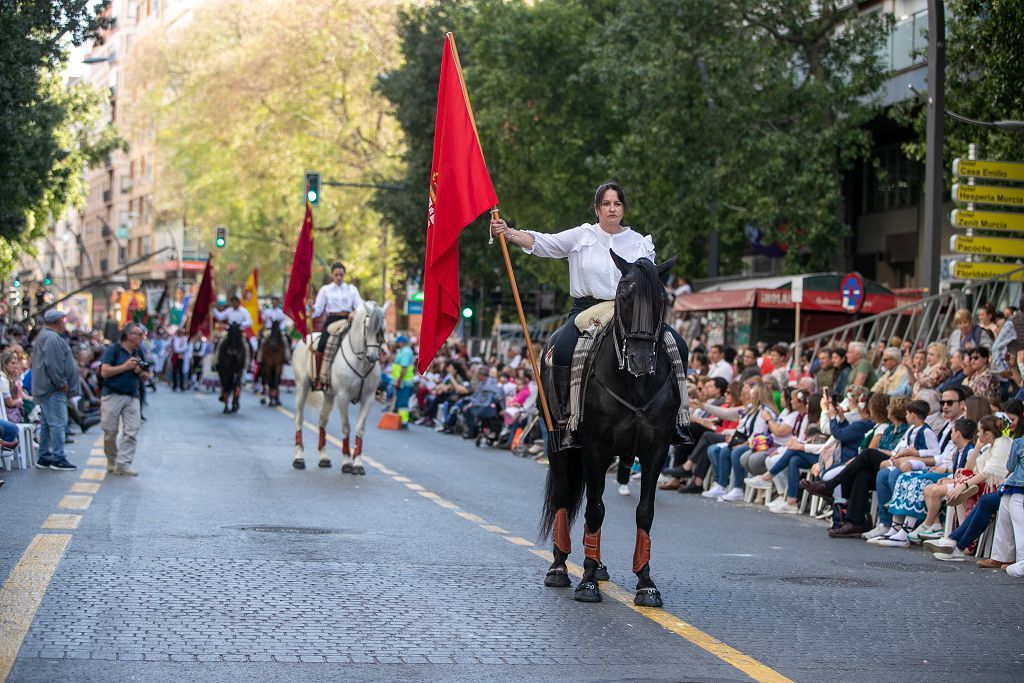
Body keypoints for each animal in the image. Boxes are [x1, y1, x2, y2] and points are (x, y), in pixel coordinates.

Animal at [292, 303, 387, 475]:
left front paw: (358, 464)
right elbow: (346, 428)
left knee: (322, 420)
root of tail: (305, 338)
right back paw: (299, 458)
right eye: (367, 327)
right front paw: (347, 462)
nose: (373, 357)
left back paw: (324, 457)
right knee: (299, 419)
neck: (360, 361)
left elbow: (360, 429)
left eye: (383, 327)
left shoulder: (368, 398)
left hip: (329, 395)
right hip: (302, 387)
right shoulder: (343, 397)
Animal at [540, 250, 684, 610]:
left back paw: (599, 564)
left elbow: (644, 512)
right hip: (558, 446)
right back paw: (559, 567)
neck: (635, 385)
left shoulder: (655, 450)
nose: (640, 359)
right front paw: (587, 581)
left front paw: (646, 584)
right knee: (564, 495)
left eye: (662, 299)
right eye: (624, 296)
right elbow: (594, 509)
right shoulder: (593, 446)